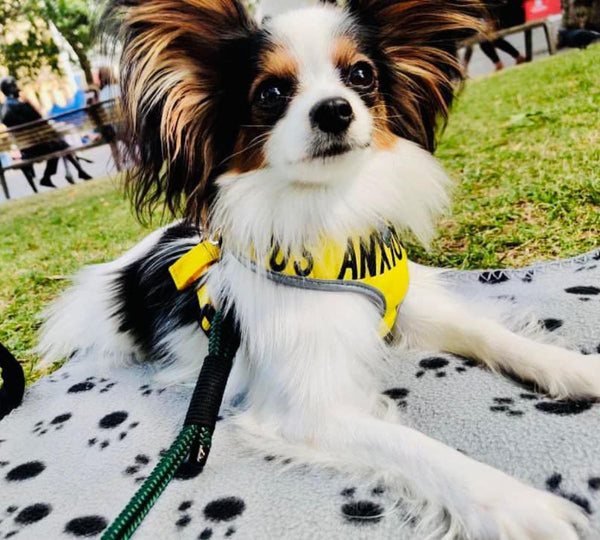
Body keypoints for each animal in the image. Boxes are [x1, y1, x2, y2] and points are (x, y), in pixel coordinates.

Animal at [39, 0, 596, 536]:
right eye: (270, 93)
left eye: (362, 75)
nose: (334, 109)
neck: (327, 214)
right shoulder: (308, 412)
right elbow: (418, 448)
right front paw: (517, 505)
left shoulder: (410, 310)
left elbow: (492, 335)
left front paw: (577, 369)